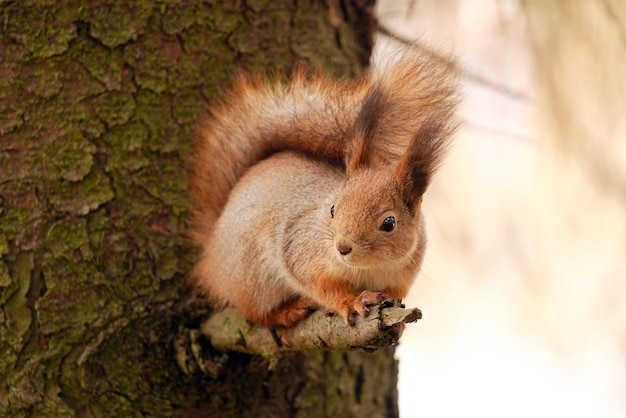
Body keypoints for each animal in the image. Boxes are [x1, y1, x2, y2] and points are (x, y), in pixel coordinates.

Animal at [188, 49, 456, 328]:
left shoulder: (403, 275)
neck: (368, 267)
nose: (342, 247)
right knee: (255, 313)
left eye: (389, 223)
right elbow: (323, 286)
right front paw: (351, 301)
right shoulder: (303, 250)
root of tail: (211, 253)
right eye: (333, 209)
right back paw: (287, 311)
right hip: (252, 276)